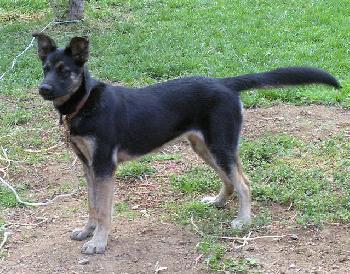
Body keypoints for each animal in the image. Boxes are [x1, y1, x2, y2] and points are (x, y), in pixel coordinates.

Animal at [32, 34, 340, 255]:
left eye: (64, 71)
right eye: (45, 69)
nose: (43, 89)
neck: (83, 105)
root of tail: (225, 83)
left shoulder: (104, 167)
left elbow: (104, 210)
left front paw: (99, 243)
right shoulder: (89, 167)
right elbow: (92, 206)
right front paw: (87, 231)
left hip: (219, 145)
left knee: (244, 182)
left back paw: (243, 221)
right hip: (206, 147)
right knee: (232, 178)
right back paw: (218, 201)